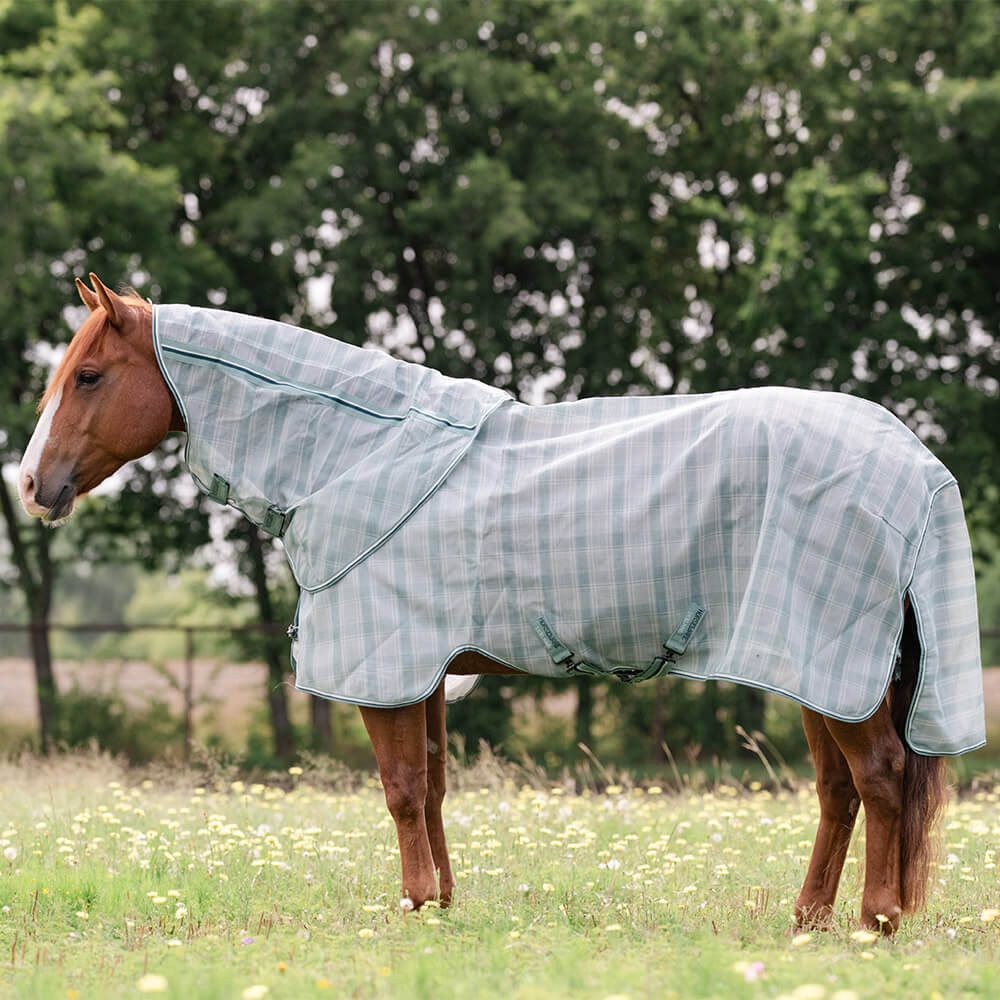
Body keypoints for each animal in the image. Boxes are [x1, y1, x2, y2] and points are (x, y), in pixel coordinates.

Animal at [18, 274, 984, 934]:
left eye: (91, 375)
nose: (31, 485)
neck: (357, 454)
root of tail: (912, 461)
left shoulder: (388, 666)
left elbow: (402, 789)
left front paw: (413, 906)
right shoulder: (428, 672)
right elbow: (434, 785)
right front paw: (442, 905)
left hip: (832, 661)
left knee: (881, 777)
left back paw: (874, 922)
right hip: (816, 666)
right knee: (840, 790)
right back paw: (807, 922)